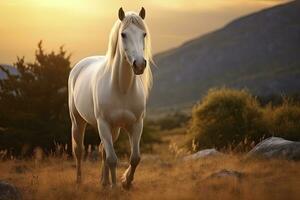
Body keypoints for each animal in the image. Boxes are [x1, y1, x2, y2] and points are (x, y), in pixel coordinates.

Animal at [68, 7, 152, 189]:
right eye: (123, 34)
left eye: (144, 34)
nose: (139, 64)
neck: (122, 88)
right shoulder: (104, 123)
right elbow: (112, 159)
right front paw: (115, 186)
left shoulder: (136, 124)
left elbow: (135, 158)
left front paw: (126, 182)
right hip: (78, 121)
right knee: (79, 150)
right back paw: (79, 181)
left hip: (114, 129)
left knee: (102, 150)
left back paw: (104, 181)